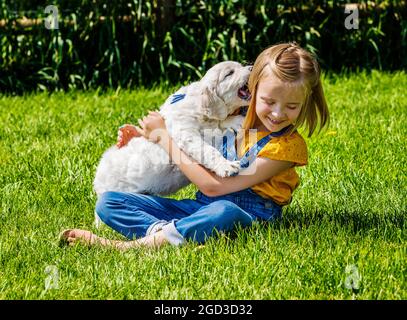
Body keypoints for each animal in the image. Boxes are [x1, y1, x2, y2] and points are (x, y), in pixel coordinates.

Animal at [93, 61, 252, 199]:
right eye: (229, 73)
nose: (251, 68)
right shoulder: (186, 133)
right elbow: (208, 149)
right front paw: (226, 166)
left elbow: (220, 122)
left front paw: (237, 120)